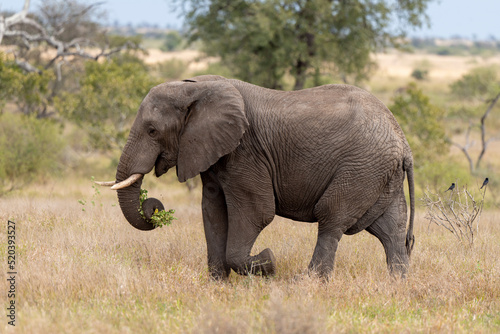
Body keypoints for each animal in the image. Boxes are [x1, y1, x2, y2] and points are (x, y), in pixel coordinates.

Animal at [101, 75, 414, 280]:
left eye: (152, 131)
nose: (153, 205)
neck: (196, 87)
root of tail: (403, 142)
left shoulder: (245, 153)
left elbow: (257, 212)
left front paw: (269, 263)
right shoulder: (213, 153)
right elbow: (213, 211)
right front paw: (218, 285)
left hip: (361, 167)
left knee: (331, 219)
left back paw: (308, 283)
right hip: (378, 173)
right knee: (390, 230)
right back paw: (397, 285)